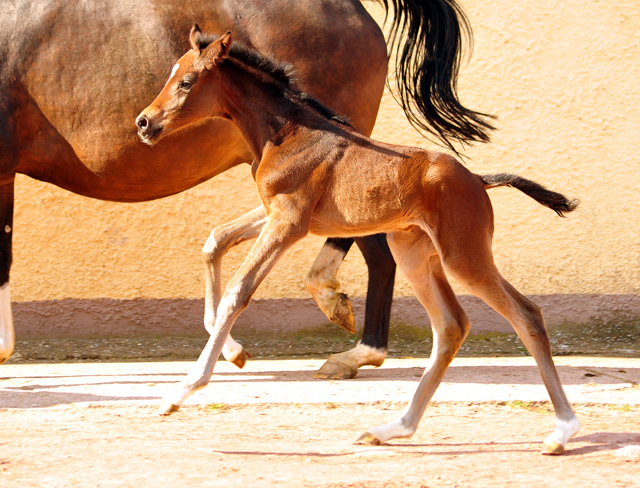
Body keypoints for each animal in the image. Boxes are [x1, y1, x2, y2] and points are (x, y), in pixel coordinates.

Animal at [138, 26, 584, 454]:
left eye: (187, 82)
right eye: (171, 75)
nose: (143, 122)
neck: (288, 132)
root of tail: (478, 179)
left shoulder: (289, 222)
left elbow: (238, 290)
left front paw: (181, 390)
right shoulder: (277, 213)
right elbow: (215, 241)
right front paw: (231, 349)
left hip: (463, 255)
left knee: (526, 315)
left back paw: (562, 431)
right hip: (415, 254)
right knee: (451, 326)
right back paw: (393, 429)